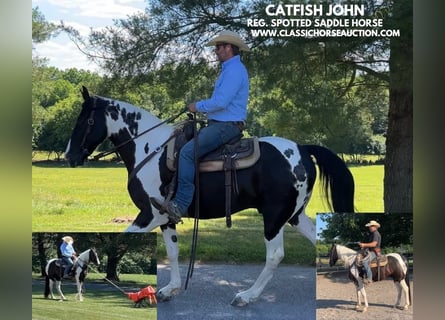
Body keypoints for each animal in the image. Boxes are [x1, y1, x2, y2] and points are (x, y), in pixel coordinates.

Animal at [63, 87, 354, 304]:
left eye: (86, 120)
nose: (69, 156)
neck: (151, 149)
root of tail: (303, 149)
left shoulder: (148, 214)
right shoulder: (166, 216)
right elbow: (173, 251)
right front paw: (170, 289)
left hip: (274, 217)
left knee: (275, 256)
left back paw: (247, 296)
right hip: (294, 215)